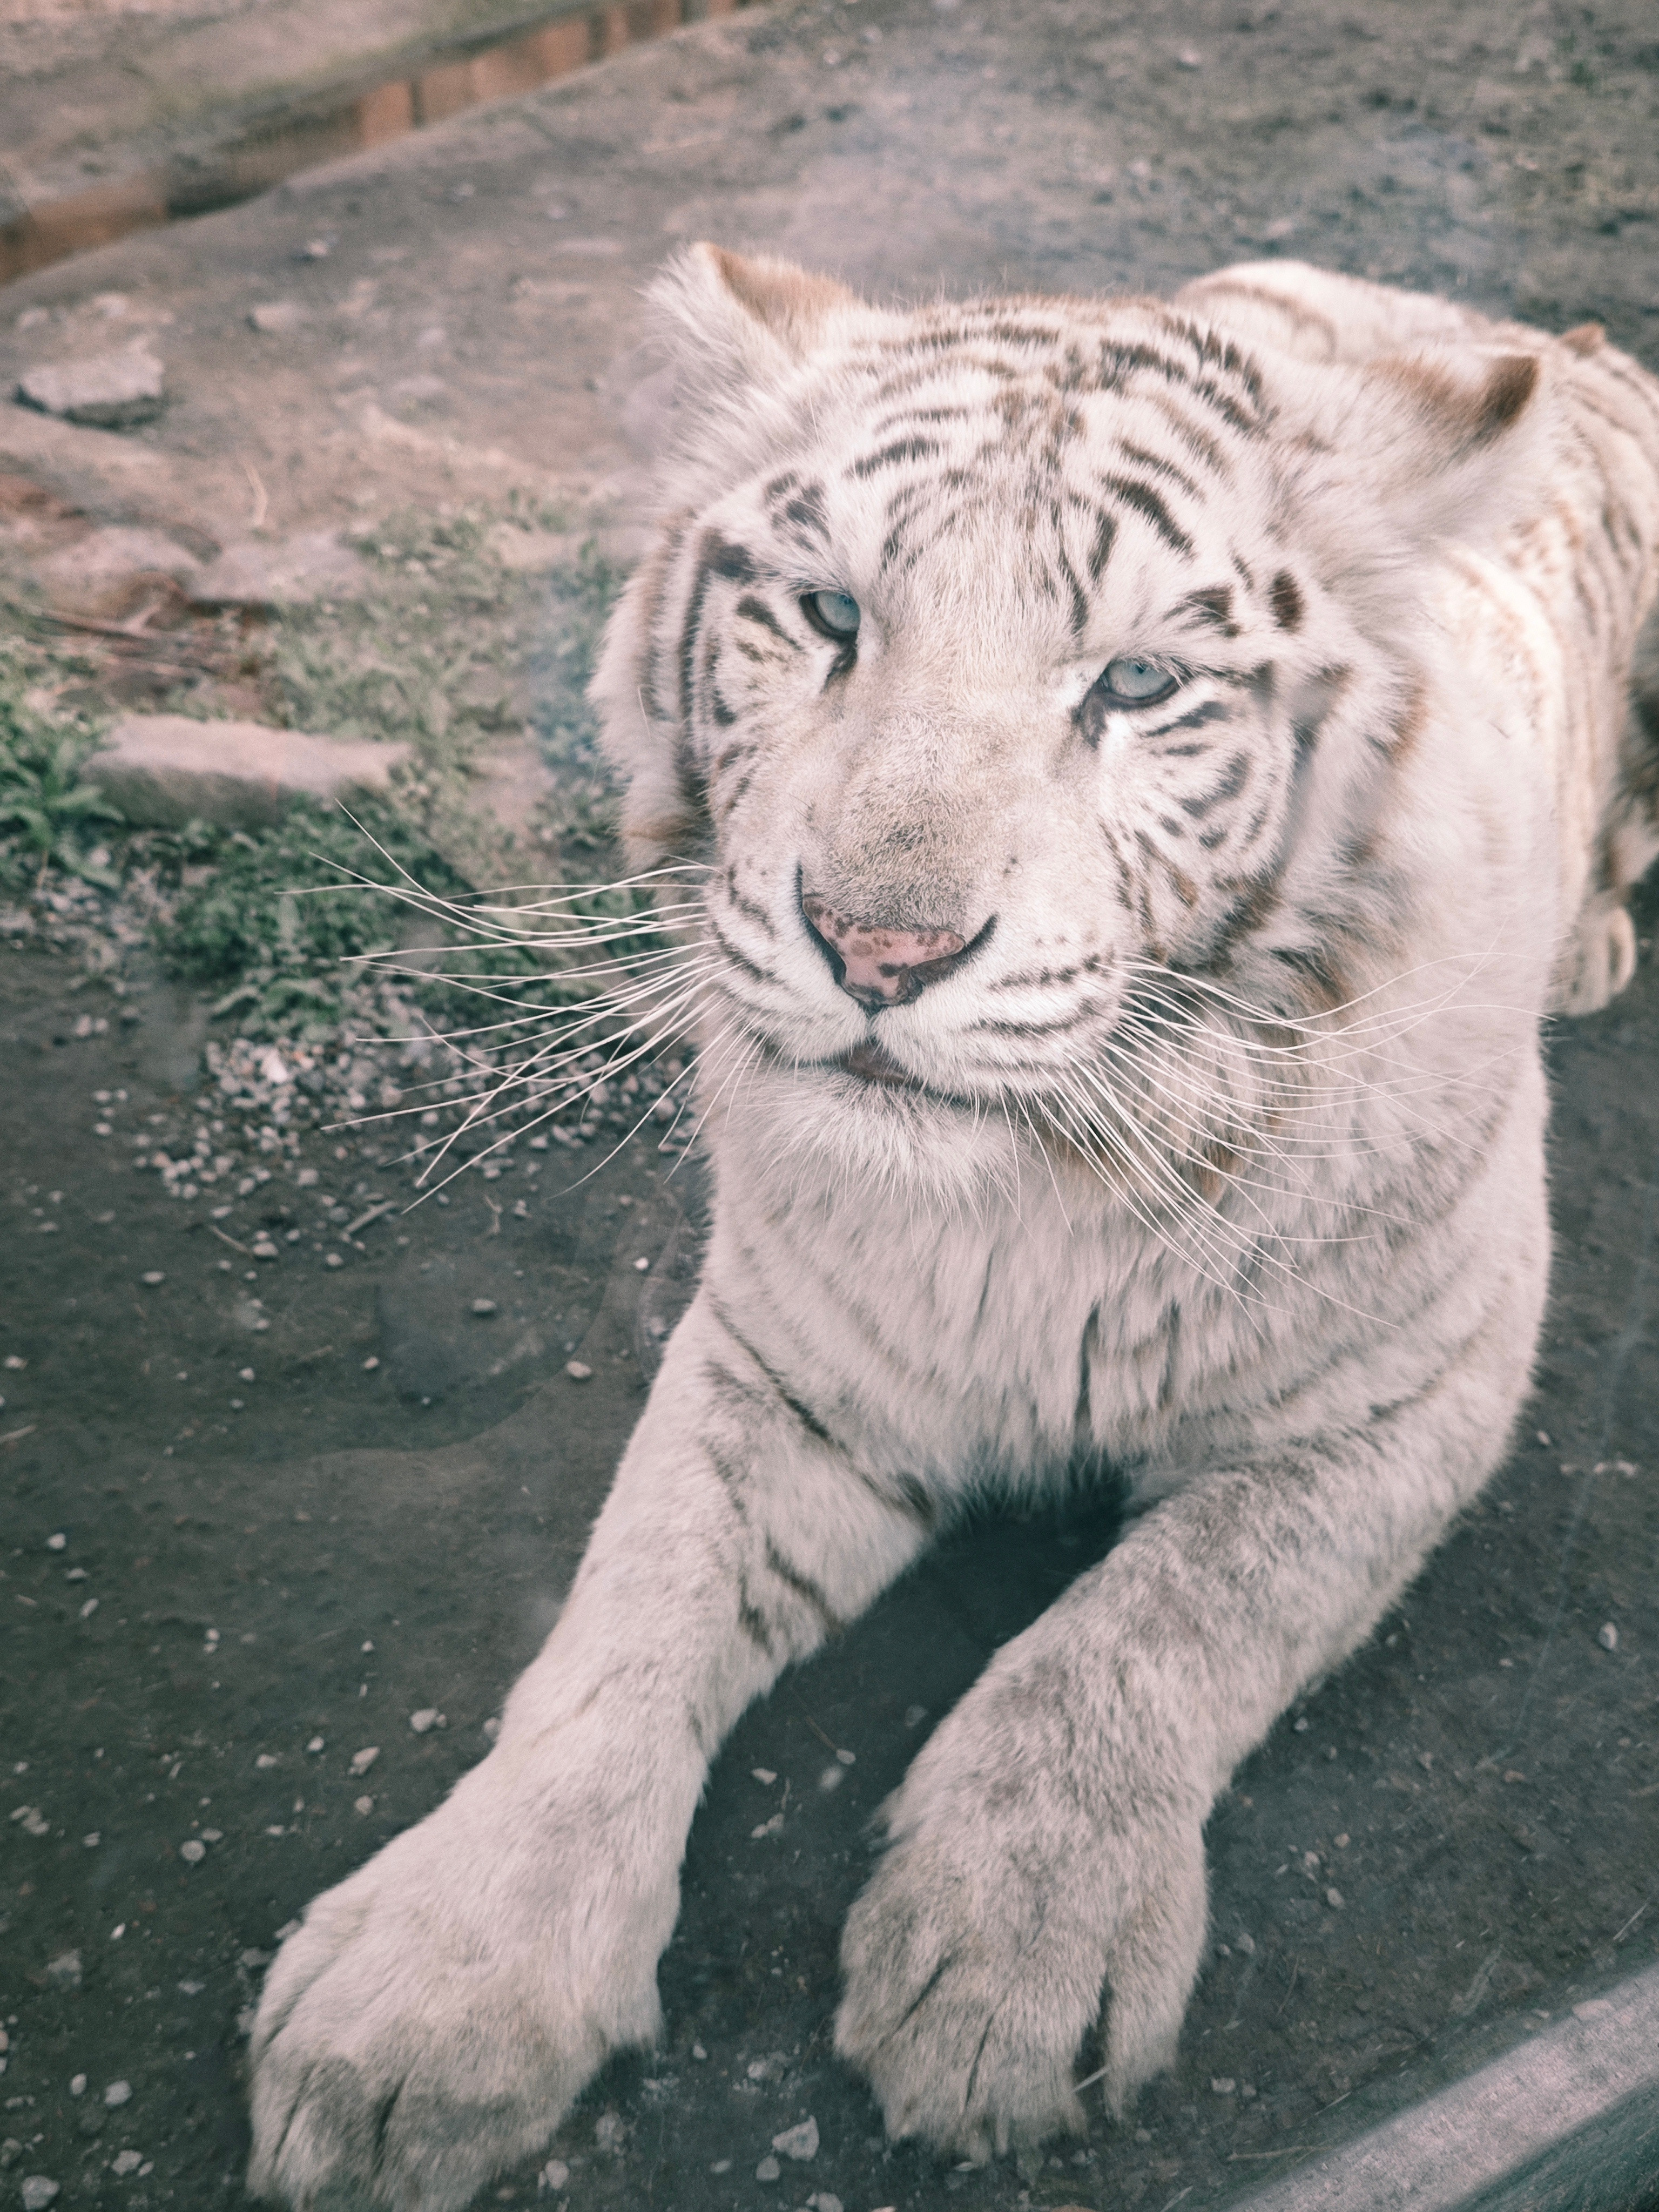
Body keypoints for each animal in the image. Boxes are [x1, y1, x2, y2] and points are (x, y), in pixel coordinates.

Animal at [248, 251, 1659, 2211]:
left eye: (1138, 681)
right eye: (828, 615)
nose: (878, 947)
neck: (1028, 1193)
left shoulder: (1411, 1388)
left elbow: (1151, 1629)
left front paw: (1005, 1972)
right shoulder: (781, 1358)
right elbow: (629, 1619)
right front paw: (427, 2003)